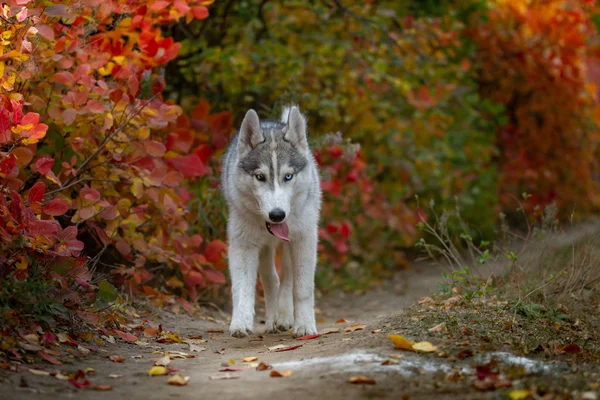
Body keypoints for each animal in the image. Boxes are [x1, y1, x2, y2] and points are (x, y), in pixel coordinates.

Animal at [221, 106, 324, 338]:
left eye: (288, 176)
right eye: (260, 177)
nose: (277, 215)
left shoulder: (304, 240)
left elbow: (302, 288)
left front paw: (305, 325)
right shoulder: (243, 245)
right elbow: (241, 288)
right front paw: (240, 322)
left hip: (288, 246)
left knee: (286, 279)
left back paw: (284, 317)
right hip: (265, 250)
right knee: (272, 280)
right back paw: (271, 321)